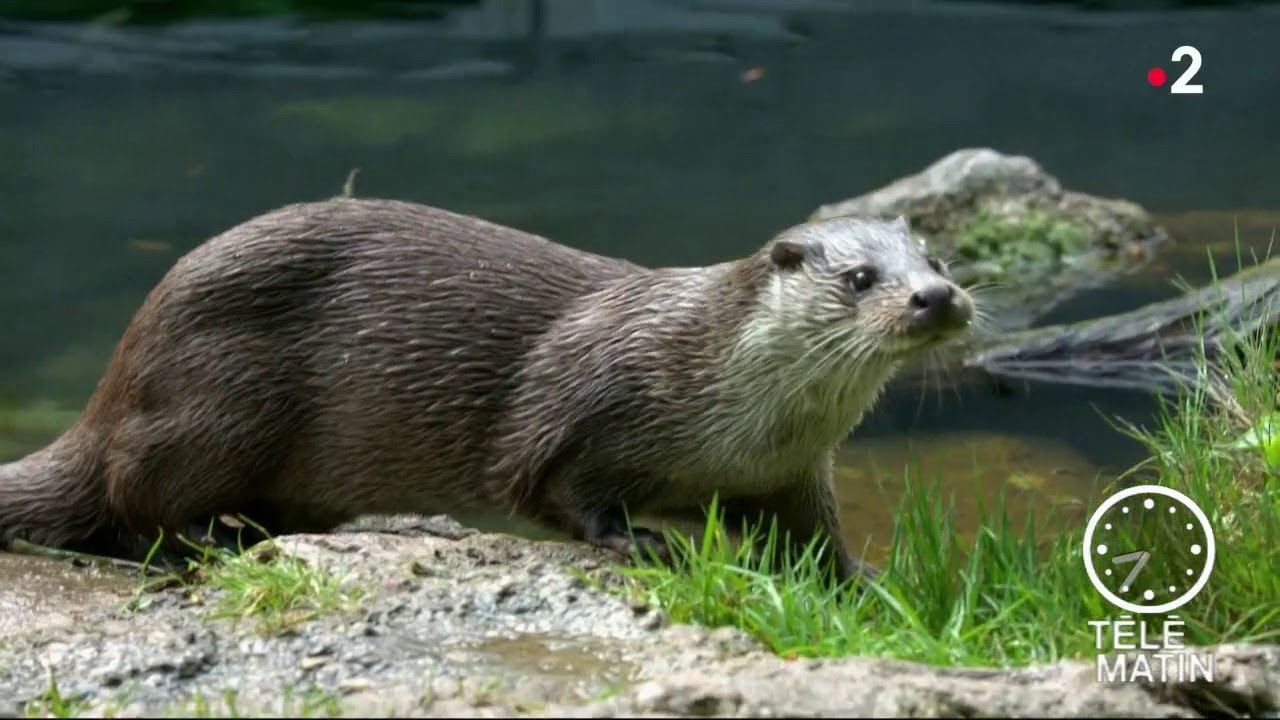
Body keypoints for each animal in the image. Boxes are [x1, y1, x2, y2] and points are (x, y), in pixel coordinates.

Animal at [0, 196, 967, 576]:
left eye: (940, 260)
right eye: (861, 280)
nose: (936, 298)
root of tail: (119, 375)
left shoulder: (792, 474)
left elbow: (812, 537)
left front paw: (860, 576)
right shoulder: (583, 403)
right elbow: (555, 490)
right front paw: (637, 541)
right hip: (218, 397)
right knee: (136, 497)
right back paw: (218, 539)